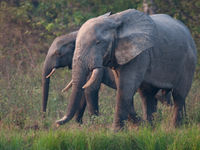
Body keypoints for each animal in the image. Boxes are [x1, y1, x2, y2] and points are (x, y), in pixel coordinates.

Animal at [55, 8, 197, 130]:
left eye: (98, 43)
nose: (56, 122)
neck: (113, 21)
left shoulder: (140, 53)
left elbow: (125, 87)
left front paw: (116, 132)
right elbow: (122, 86)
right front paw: (137, 127)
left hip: (188, 63)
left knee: (178, 95)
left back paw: (175, 128)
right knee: (147, 95)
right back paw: (150, 128)